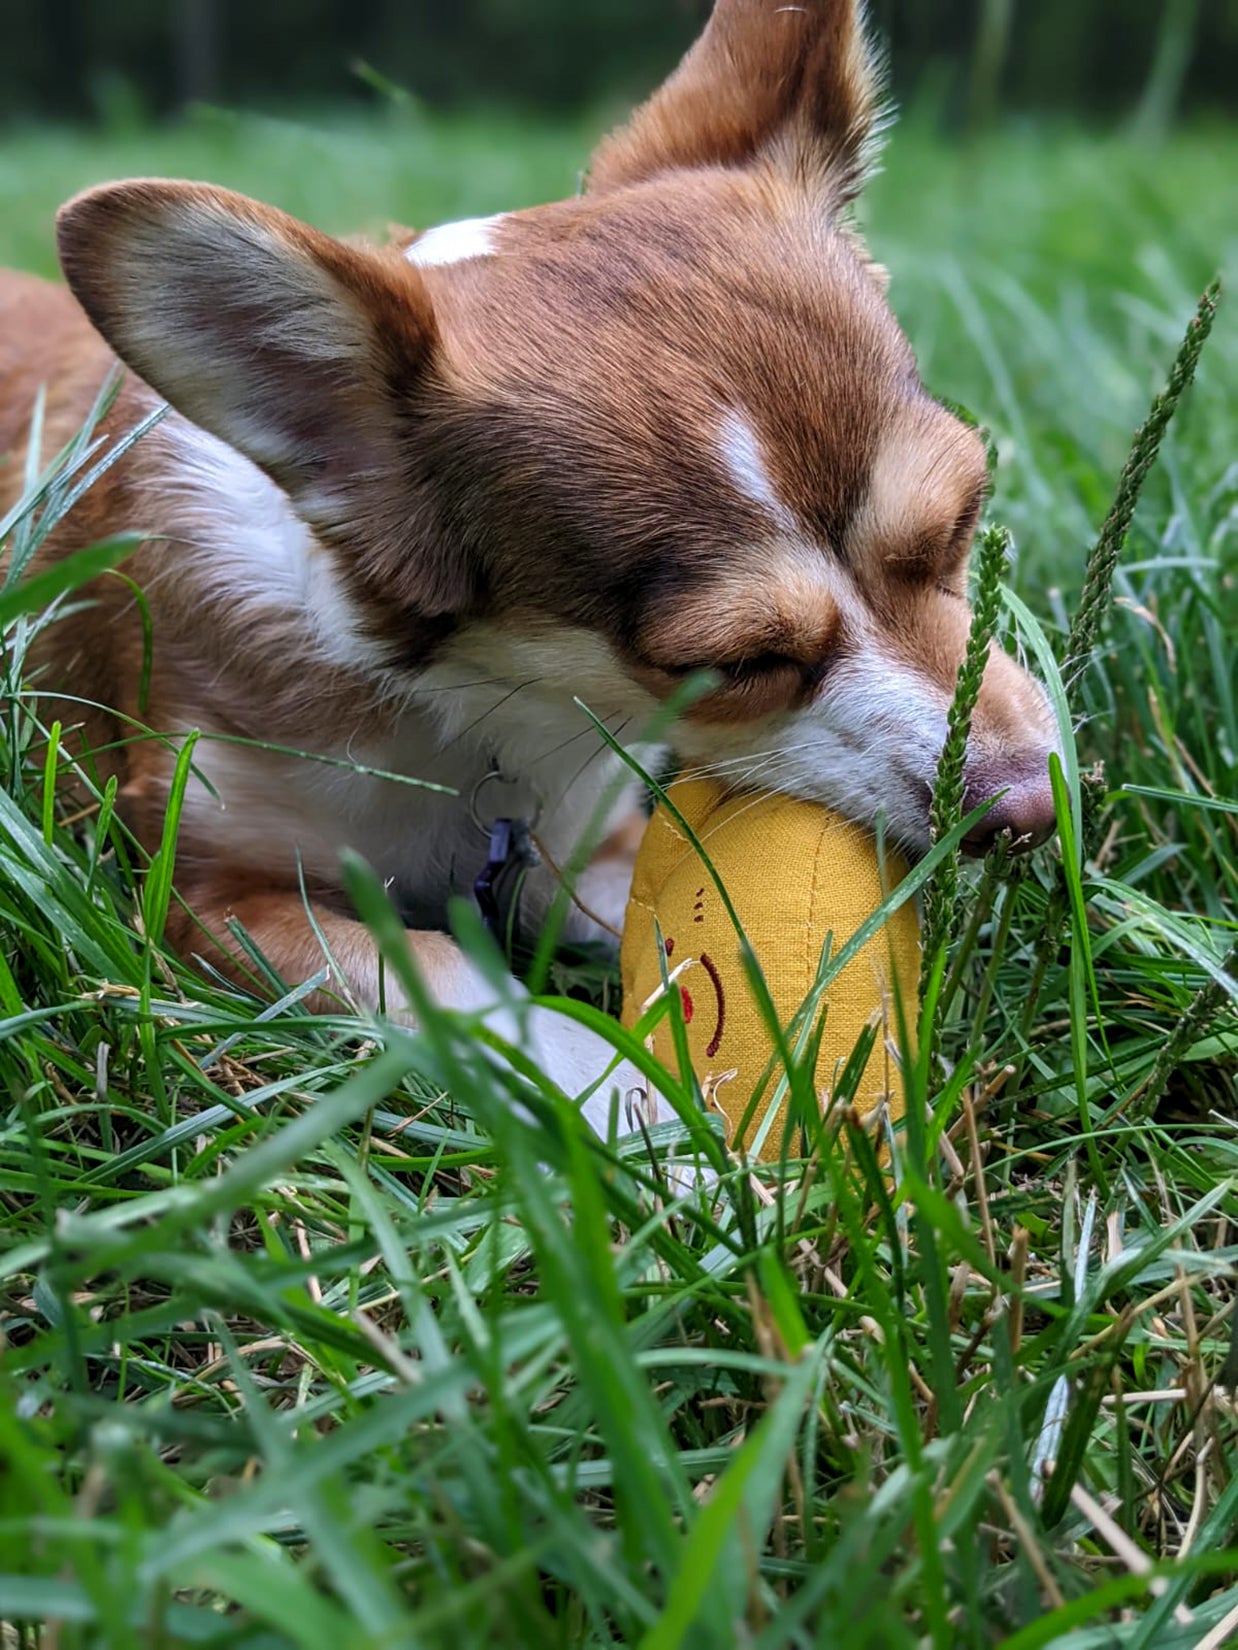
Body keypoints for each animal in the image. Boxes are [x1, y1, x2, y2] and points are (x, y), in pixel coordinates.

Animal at [0, 0, 1063, 1135]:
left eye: (960, 523)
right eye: (734, 665)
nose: (1029, 810)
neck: (478, 712)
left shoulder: (578, 845)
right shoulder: (212, 906)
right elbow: (451, 980)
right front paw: (648, 1119)